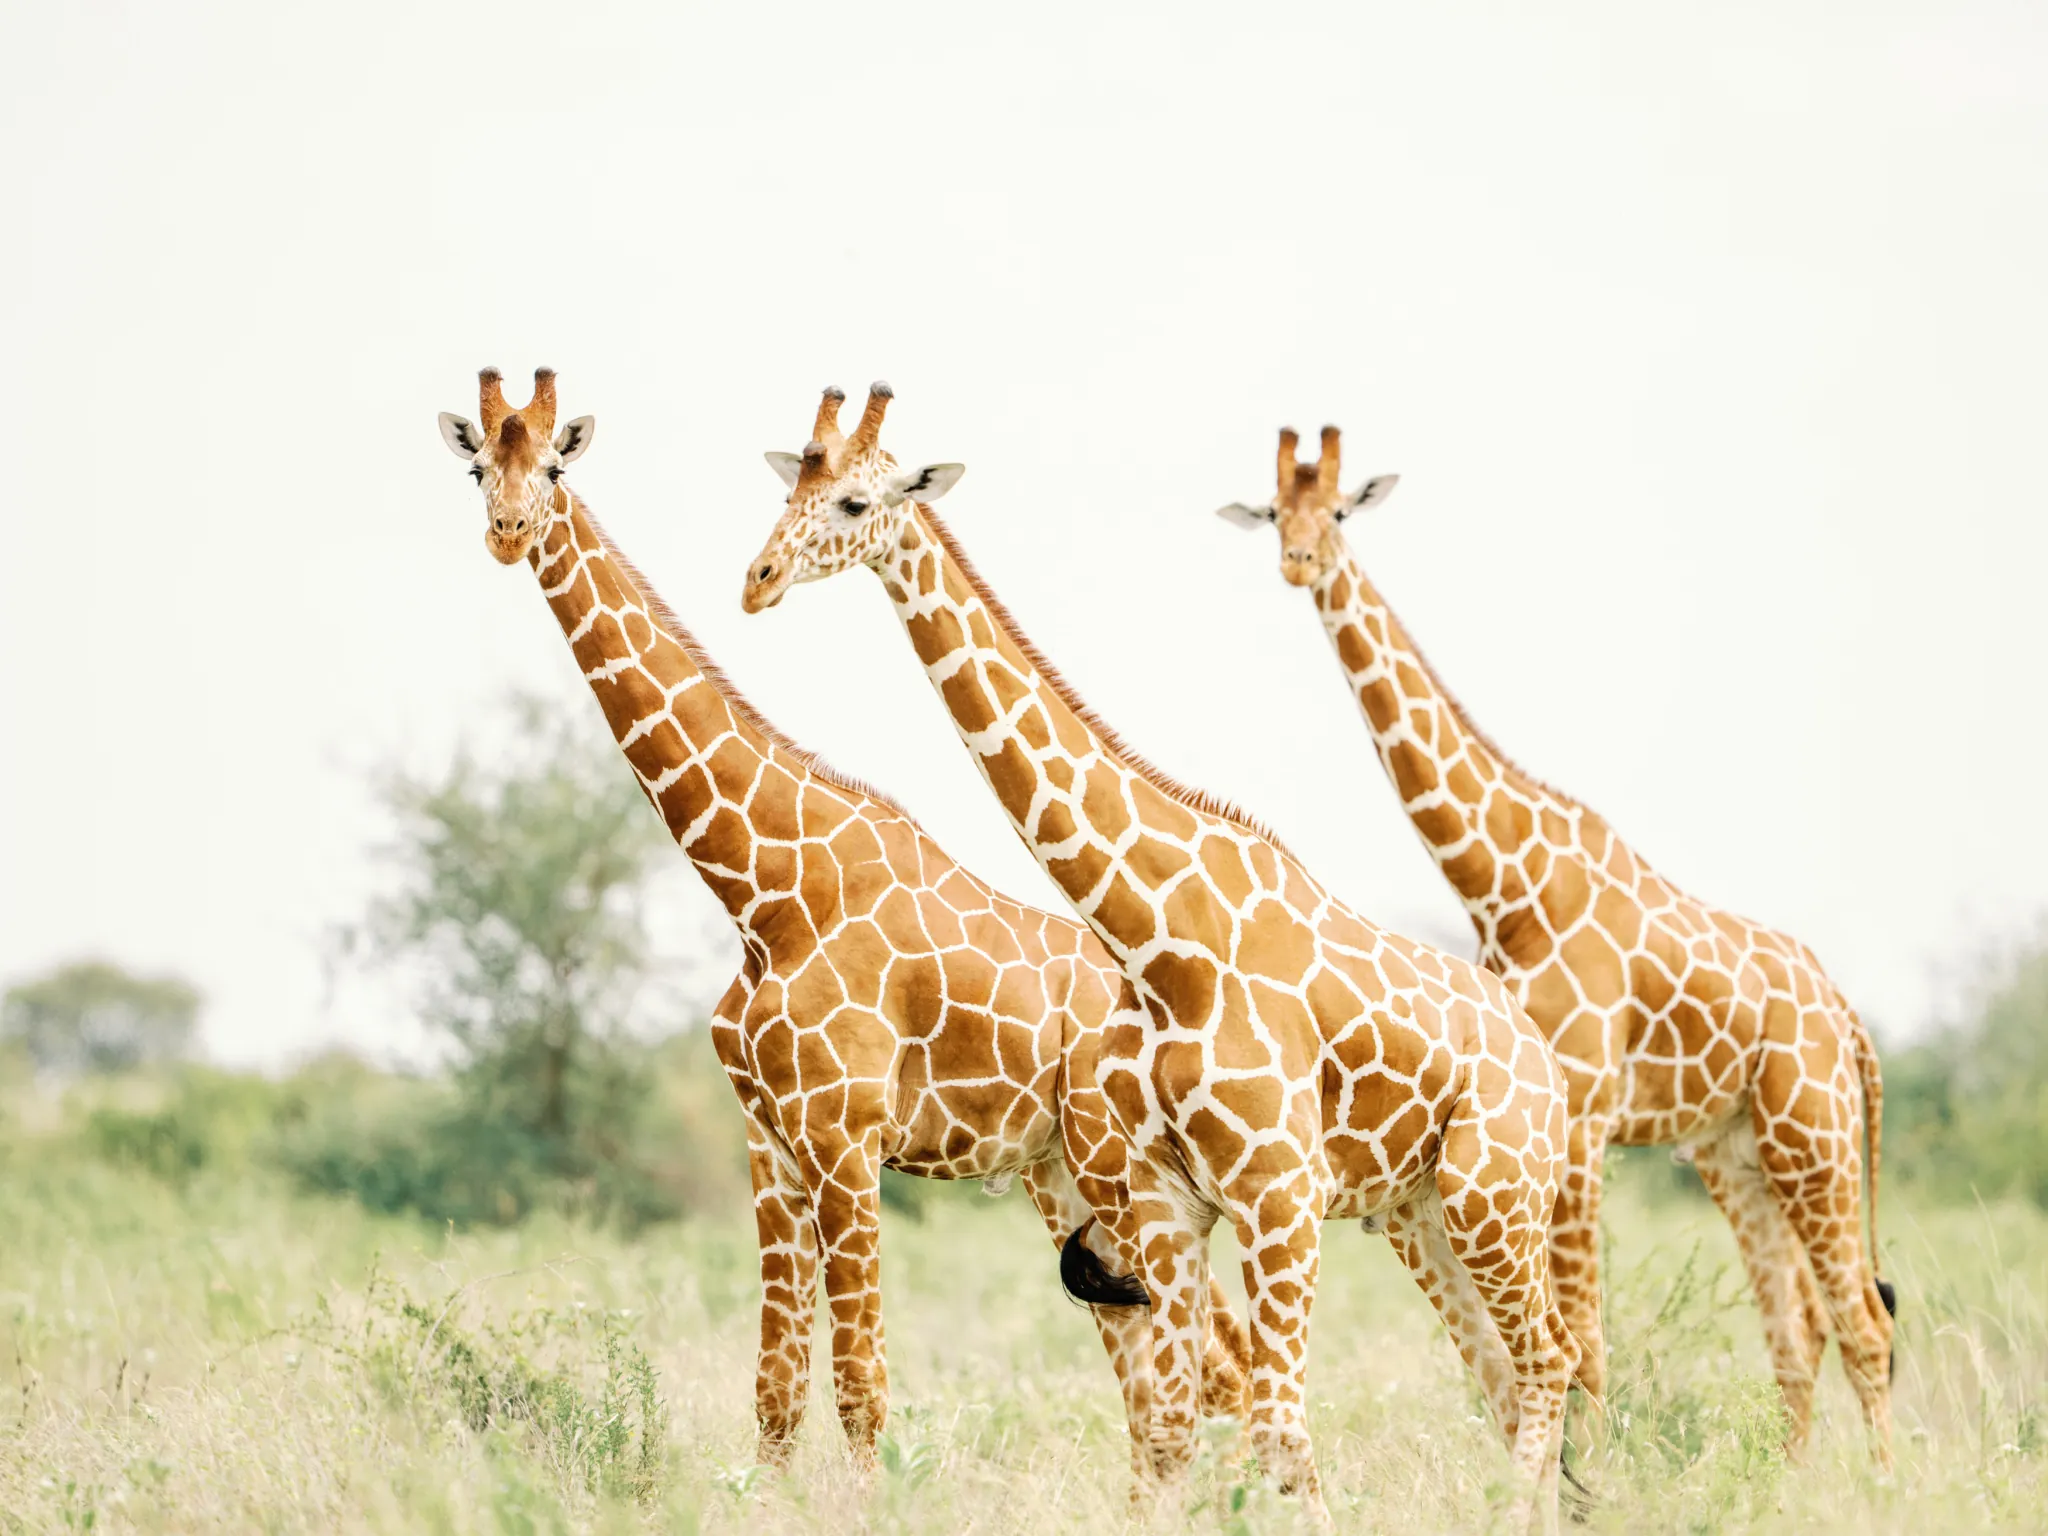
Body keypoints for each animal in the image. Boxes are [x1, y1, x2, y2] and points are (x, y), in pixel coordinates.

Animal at [433, 369, 1252, 1475]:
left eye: (554, 468)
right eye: (479, 466)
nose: (509, 532)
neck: (764, 890)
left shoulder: (845, 1136)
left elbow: (860, 1386)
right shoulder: (769, 1143)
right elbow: (777, 1392)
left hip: (1123, 1174)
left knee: (1214, 1372)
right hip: (1065, 1178)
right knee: (1165, 1375)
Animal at [741, 383, 1586, 1532]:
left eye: (854, 502)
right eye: (790, 485)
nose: (757, 579)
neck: (1156, 940)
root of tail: (1540, 1061)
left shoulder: (1280, 1197)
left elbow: (1278, 1434)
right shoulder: (1170, 1207)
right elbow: (1176, 1426)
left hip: (1494, 1193)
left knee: (1548, 1359)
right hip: (1424, 1211)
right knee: (1511, 1370)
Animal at [1211, 424, 1897, 1466]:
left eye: (1335, 511)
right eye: (1272, 510)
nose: (1297, 561)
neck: (1507, 882)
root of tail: (1849, 1020)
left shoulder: (1581, 1116)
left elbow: (1584, 1336)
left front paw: (1598, 1474)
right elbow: (1567, 1337)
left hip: (1813, 1134)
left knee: (1863, 1319)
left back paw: (1893, 1483)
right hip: (1736, 1150)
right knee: (1801, 1326)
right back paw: (1798, 1483)